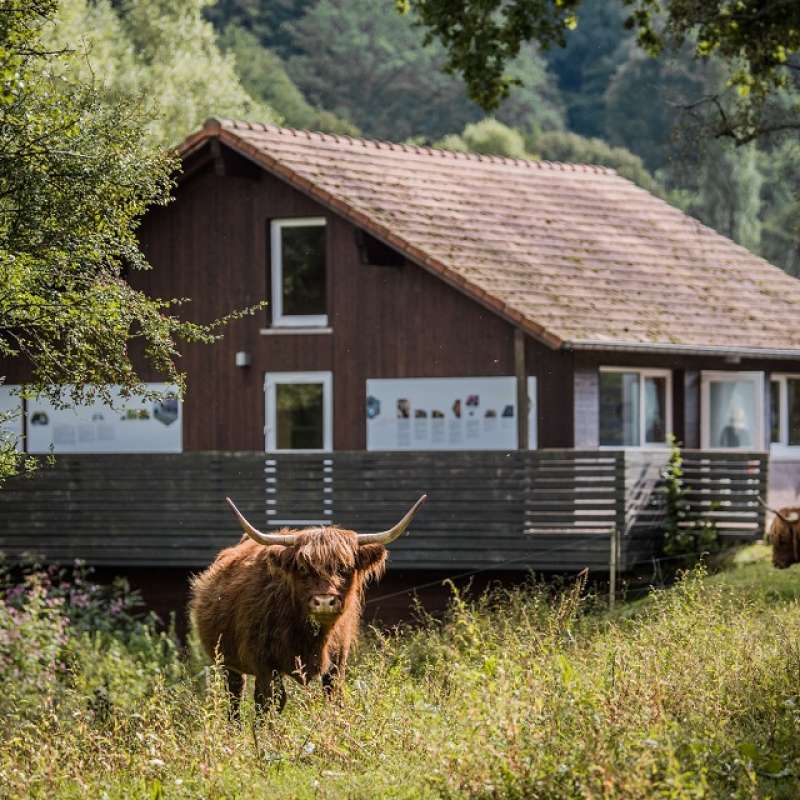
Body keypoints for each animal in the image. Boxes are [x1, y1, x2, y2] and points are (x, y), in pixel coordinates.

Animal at [189, 494, 424, 712]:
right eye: (303, 568)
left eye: (344, 568)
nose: (325, 601)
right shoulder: (264, 665)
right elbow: (268, 703)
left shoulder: (337, 663)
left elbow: (333, 700)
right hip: (228, 662)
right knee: (235, 697)